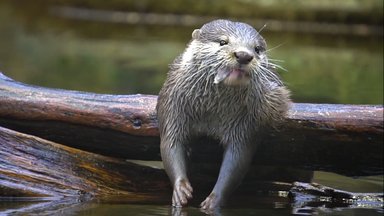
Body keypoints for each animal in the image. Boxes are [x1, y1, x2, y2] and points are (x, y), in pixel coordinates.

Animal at [156, 19, 292, 210]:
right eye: (223, 42)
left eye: (257, 49)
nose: (243, 55)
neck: (212, 111)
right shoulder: (173, 106)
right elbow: (170, 143)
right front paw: (181, 189)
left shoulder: (246, 123)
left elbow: (237, 160)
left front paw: (214, 199)